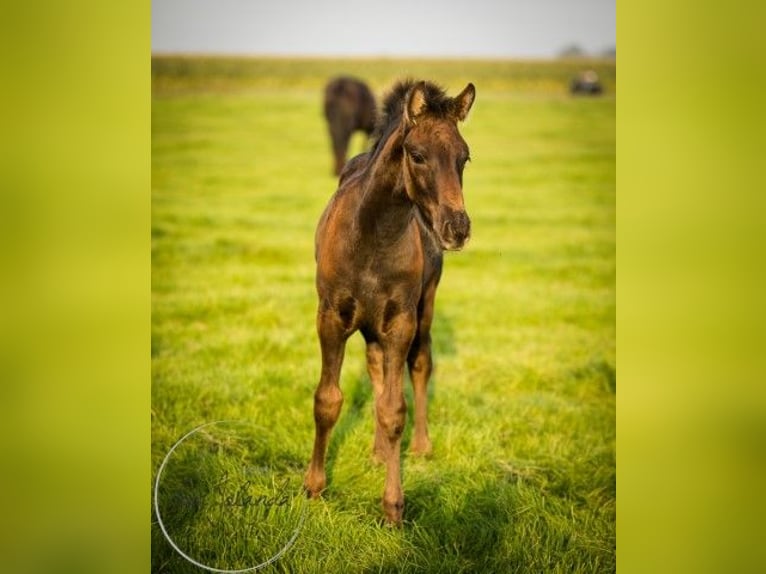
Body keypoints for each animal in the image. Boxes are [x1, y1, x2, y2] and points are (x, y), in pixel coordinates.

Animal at [305, 79, 476, 525]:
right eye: (417, 156)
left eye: (465, 157)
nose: (457, 228)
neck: (372, 234)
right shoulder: (330, 317)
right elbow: (327, 400)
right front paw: (313, 488)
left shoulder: (400, 321)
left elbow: (395, 408)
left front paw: (393, 507)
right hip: (368, 323)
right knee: (376, 365)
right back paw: (379, 451)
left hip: (423, 308)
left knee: (419, 364)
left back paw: (419, 446)